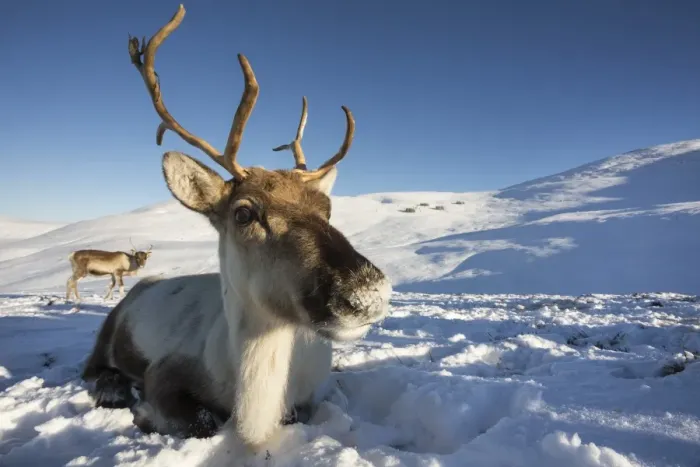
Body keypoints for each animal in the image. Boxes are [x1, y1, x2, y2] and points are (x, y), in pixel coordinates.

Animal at [80, 3, 391, 456]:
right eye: (244, 213)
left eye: (327, 209)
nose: (369, 293)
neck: (254, 402)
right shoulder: (165, 371)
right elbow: (202, 420)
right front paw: (146, 414)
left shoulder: (314, 393)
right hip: (109, 327)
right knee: (93, 368)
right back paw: (114, 389)